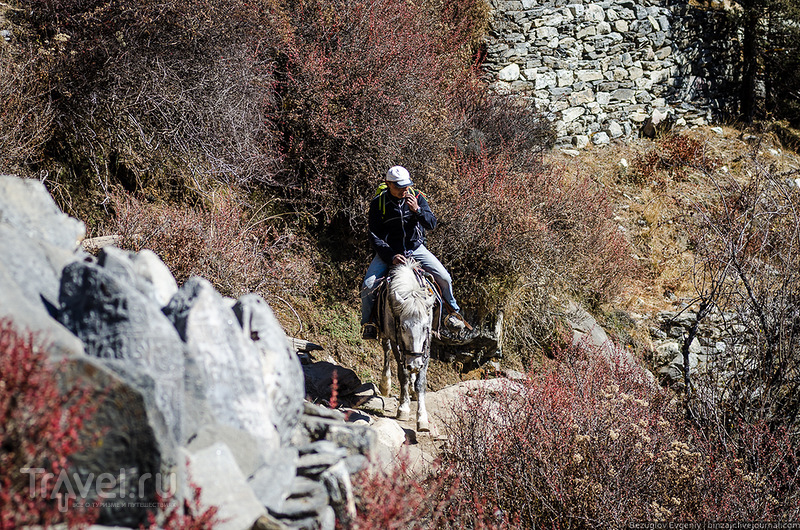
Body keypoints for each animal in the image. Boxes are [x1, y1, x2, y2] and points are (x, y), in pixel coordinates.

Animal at [376, 258, 434, 428]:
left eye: (425, 327)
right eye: (402, 327)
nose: (414, 363)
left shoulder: (427, 344)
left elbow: (421, 381)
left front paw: (422, 418)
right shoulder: (395, 340)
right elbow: (403, 374)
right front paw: (403, 408)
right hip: (386, 335)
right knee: (386, 349)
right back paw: (385, 384)